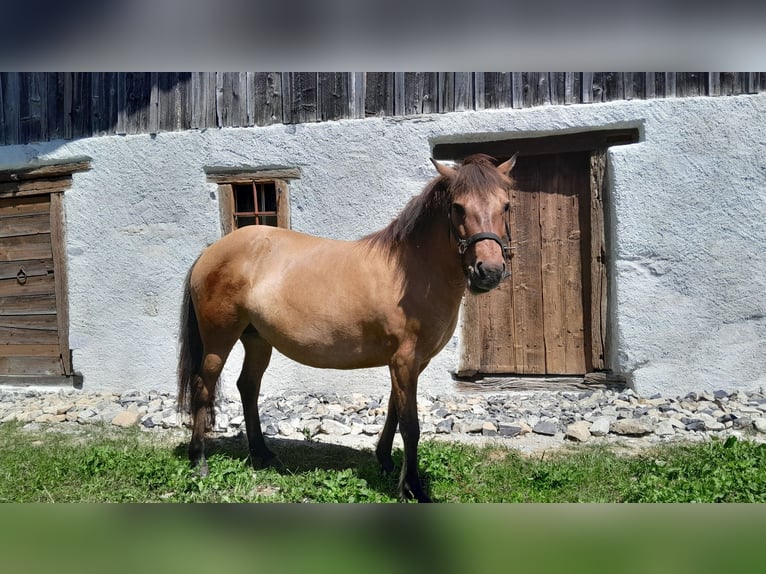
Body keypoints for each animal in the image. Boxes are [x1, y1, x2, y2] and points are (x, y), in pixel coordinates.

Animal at [177, 153, 518, 502]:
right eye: (458, 207)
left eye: (506, 205)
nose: (489, 272)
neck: (412, 272)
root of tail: (211, 250)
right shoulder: (405, 361)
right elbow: (410, 425)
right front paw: (413, 488)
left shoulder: (410, 363)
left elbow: (394, 411)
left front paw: (385, 462)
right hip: (219, 340)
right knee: (203, 387)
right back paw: (199, 460)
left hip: (257, 340)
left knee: (248, 386)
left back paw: (263, 454)